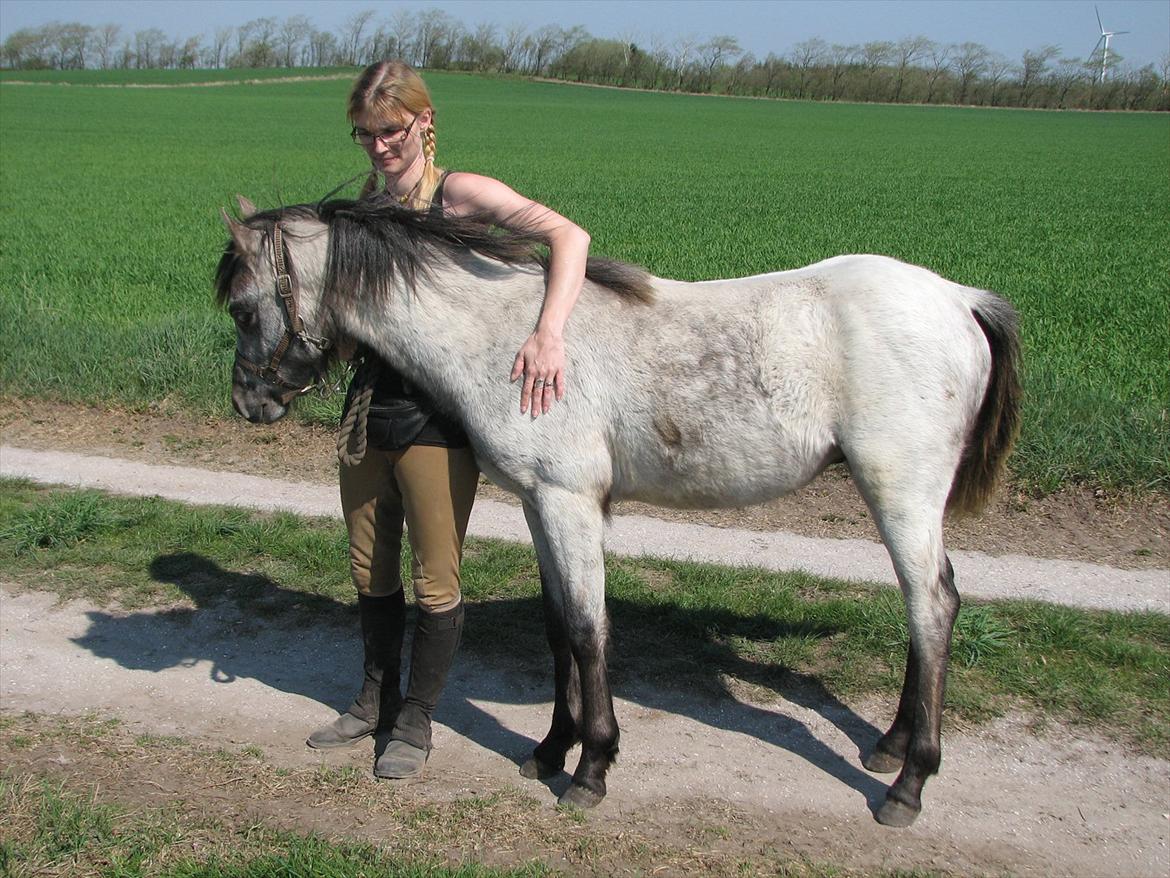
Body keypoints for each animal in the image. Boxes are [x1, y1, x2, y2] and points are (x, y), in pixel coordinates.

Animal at [216, 195, 1020, 828]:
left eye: (243, 307)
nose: (249, 403)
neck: (510, 337)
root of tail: (959, 298)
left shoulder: (569, 503)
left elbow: (587, 629)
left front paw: (592, 769)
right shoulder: (539, 504)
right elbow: (557, 631)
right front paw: (550, 751)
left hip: (900, 491)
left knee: (932, 604)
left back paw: (909, 785)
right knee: (927, 605)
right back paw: (888, 747)